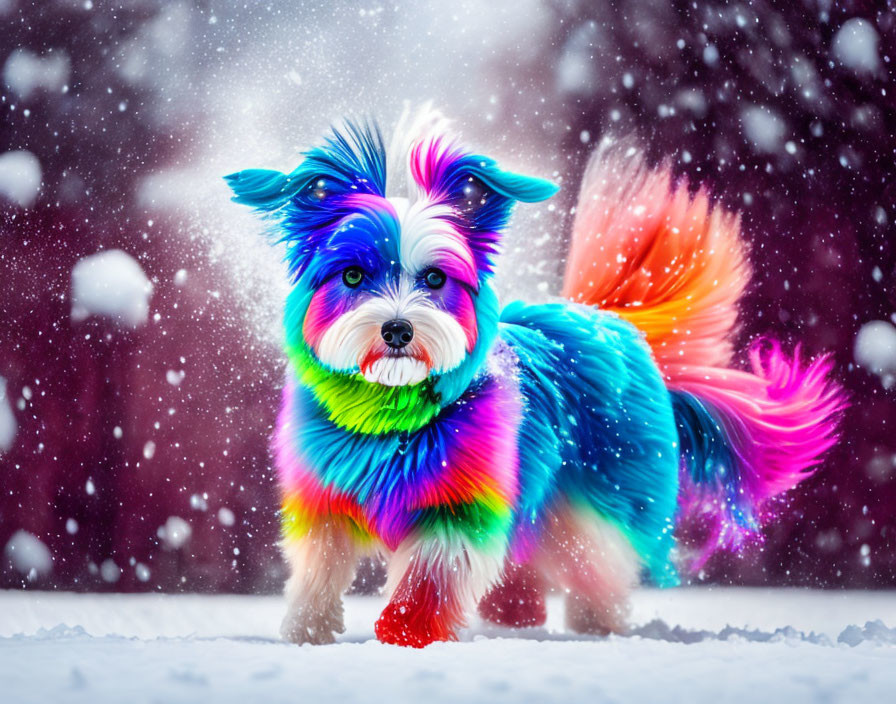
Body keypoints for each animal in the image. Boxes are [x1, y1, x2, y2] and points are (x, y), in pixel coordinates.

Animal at [226, 107, 848, 648]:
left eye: (434, 279)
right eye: (353, 276)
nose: (398, 328)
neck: (393, 413)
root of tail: (606, 321)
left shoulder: (464, 503)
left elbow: (431, 575)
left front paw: (406, 633)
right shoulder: (324, 500)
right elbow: (319, 569)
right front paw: (306, 630)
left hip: (592, 497)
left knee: (597, 562)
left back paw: (596, 622)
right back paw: (514, 613)